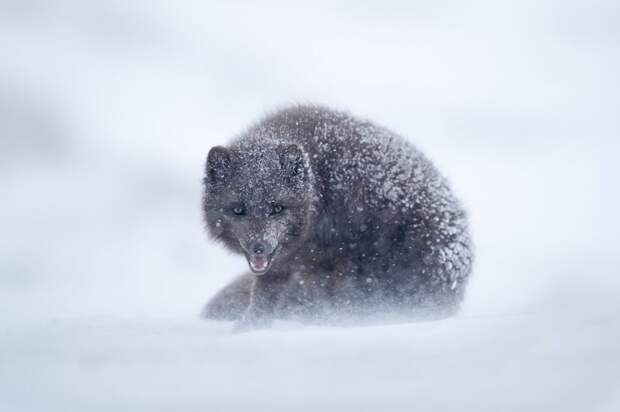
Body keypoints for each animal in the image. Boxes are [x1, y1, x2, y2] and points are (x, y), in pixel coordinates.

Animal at [201, 104, 472, 330]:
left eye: (277, 208)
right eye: (238, 210)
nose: (259, 246)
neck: (321, 187)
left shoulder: (337, 257)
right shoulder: (280, 267)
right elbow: (263, 297)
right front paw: (248, 329)